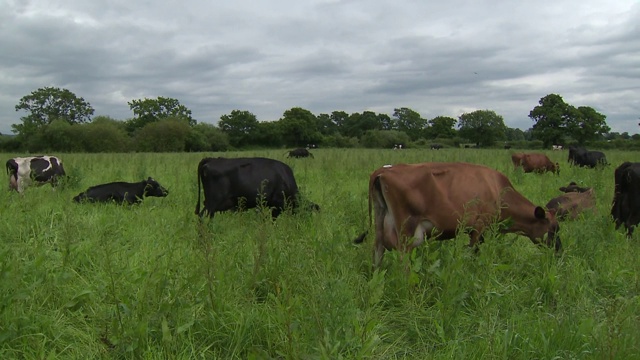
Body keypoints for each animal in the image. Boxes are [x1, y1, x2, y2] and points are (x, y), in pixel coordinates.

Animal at [356, 162, 560, 266]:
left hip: (381, 220)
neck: (498, 189)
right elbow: (473, 253)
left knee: (378, 250)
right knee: (403, 258)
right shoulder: (479, 228)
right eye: (552, 229)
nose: (559, 252)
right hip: (407, 229)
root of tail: (383, 170)